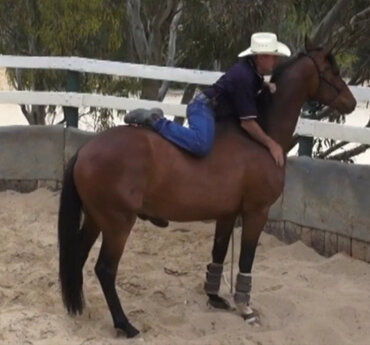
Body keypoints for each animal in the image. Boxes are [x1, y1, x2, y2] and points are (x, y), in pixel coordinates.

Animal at [57, 39, 356, 338]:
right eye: (333, 70)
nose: (351, 102)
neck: (260, 138)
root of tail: (86, 150)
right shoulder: (256, 212)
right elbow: (246, 259)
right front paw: (246, 308)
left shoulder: (227, 214)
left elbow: (219, 252)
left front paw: (214, 297)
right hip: (118, 224)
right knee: (106, 269)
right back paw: (125, 324)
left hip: (96, 219)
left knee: (79, 256)